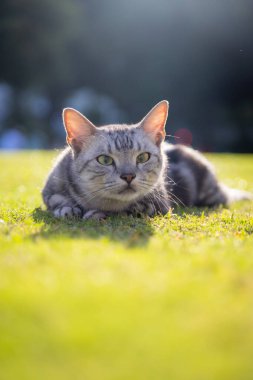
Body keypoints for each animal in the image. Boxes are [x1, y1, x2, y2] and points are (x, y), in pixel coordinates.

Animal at [42, 101, 251, 220]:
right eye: (105, 160)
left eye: (143, 157)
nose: (128, 176)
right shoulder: (50, 188)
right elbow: (56, 198)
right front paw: (68, 209)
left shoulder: (158, 205)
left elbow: (128, 209)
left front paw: (96, 213)